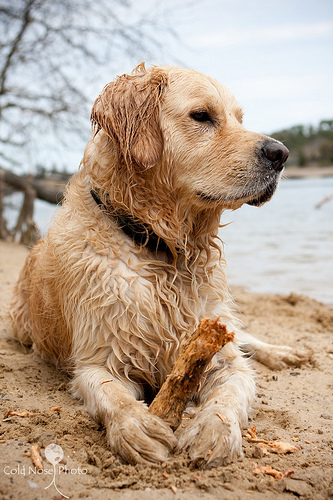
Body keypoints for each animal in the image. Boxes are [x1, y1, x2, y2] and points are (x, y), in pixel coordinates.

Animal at [10, 63, 304, 468]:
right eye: (202, 116)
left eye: (240, 119)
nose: (281, 153)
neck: (162, 249)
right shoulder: (97, 358)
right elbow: (111, 395)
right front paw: (137, 427)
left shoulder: (219, 353)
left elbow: (231, 389)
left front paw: (212, 430)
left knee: (243, 337)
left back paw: (283, 352)